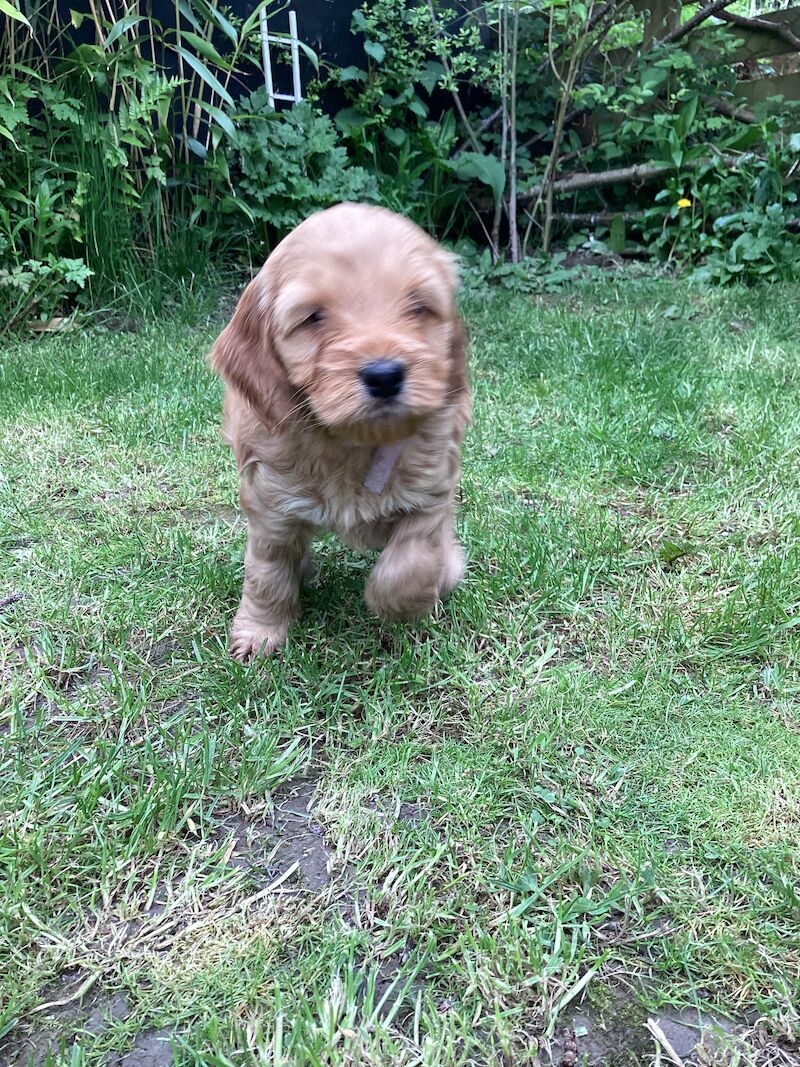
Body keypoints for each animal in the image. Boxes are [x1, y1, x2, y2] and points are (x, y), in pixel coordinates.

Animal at [211, 200, 469, 657]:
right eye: (313, 317)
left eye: (418, 307)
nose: (384, 375)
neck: (353, 442)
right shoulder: (270, 502)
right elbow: (266, 572)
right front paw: (260, 633)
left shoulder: (431, 493)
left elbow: (412, 563)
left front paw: (408, 602)